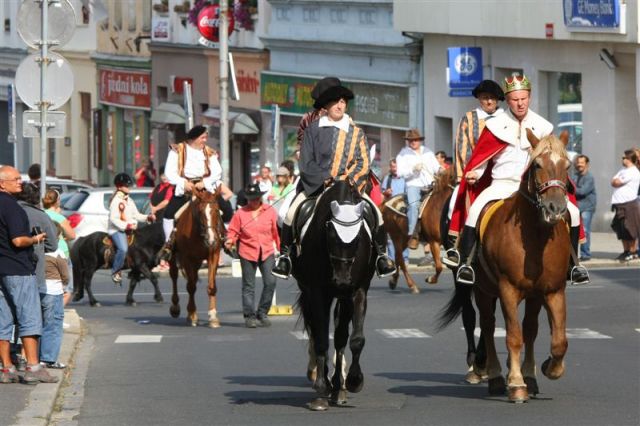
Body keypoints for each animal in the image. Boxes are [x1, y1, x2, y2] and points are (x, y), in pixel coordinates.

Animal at [169, 188, 224, 328]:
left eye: (217, 210)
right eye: (200, 212)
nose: (211, 239)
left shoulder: (213, 255)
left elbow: (211, 286)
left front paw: (213, 316)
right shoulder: (187, 258)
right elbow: (191, 286)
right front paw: (192, 315)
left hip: (197, 261)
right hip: (174, 257)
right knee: (174, 276)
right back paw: (175, 307)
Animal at [292, 181, 376, 412]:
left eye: (358, 238)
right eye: (331, 234)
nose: (341, 280)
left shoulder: (356, 292)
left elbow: (352, 339)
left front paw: (352, 382)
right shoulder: (317, 292)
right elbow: (322, 339)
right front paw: (322, 389)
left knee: (339, 337)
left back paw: (339, 385)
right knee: (315, 330)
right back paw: (321, 378)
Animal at [442, 130, 572, 402]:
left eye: (567, 166)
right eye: (537, 165)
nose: (555, 208)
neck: (535, 238)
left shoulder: (552, 291)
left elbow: (557, 340)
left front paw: (547, 369)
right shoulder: (508, 290)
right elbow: (513, 336)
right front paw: (516, 383)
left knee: (528, 329)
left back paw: (528, 377)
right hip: (482, 289)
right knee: (488, 326)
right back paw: (494, 377)